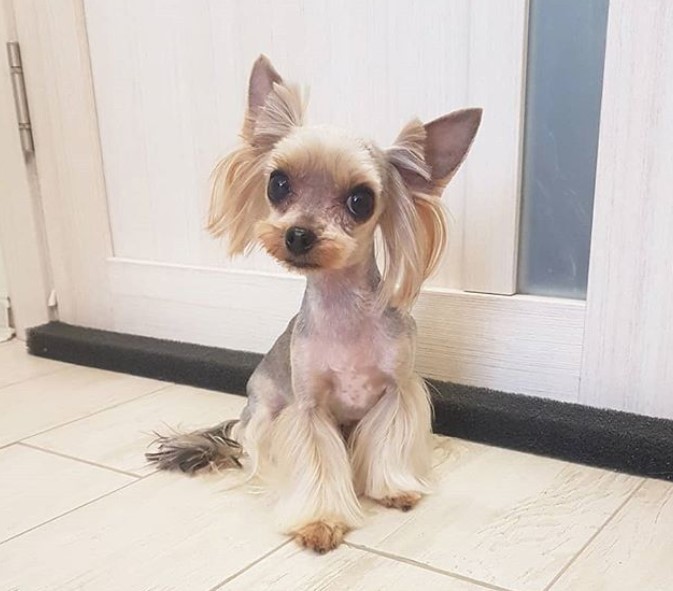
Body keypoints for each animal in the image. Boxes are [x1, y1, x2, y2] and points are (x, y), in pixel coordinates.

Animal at [148, 55, 478, 556]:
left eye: (360, 200)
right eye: (278, 183)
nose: (298, 235)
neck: (344, 309)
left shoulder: (396, 392)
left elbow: (388, 441)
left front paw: (393, 488)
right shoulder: (308, 410)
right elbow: (318, 463)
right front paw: (319, 522)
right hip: (265, 412)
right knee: (255, 448)